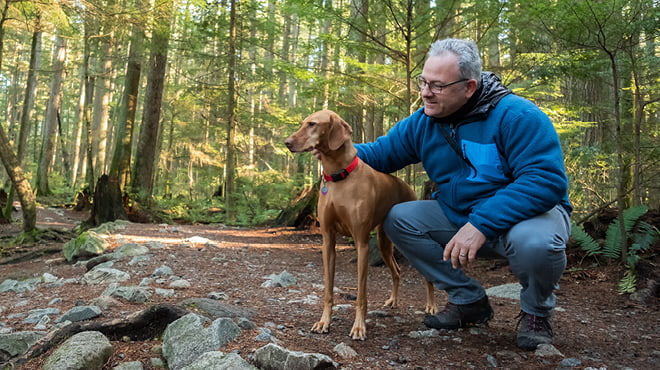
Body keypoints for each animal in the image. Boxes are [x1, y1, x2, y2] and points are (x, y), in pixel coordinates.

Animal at [284, 110, 436, 342]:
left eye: (312, 124)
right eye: (303, 123)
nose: (287, 142)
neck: (339, 177)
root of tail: (407, 186)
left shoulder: (362, 243)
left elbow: (361, 296)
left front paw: (358, 327)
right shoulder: (328, 241)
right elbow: (328, 291)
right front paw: (324, 322)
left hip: (404, 243)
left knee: (427, 276)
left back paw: (431, 305)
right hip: (383, 243)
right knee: (397, 271)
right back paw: (393, 300)